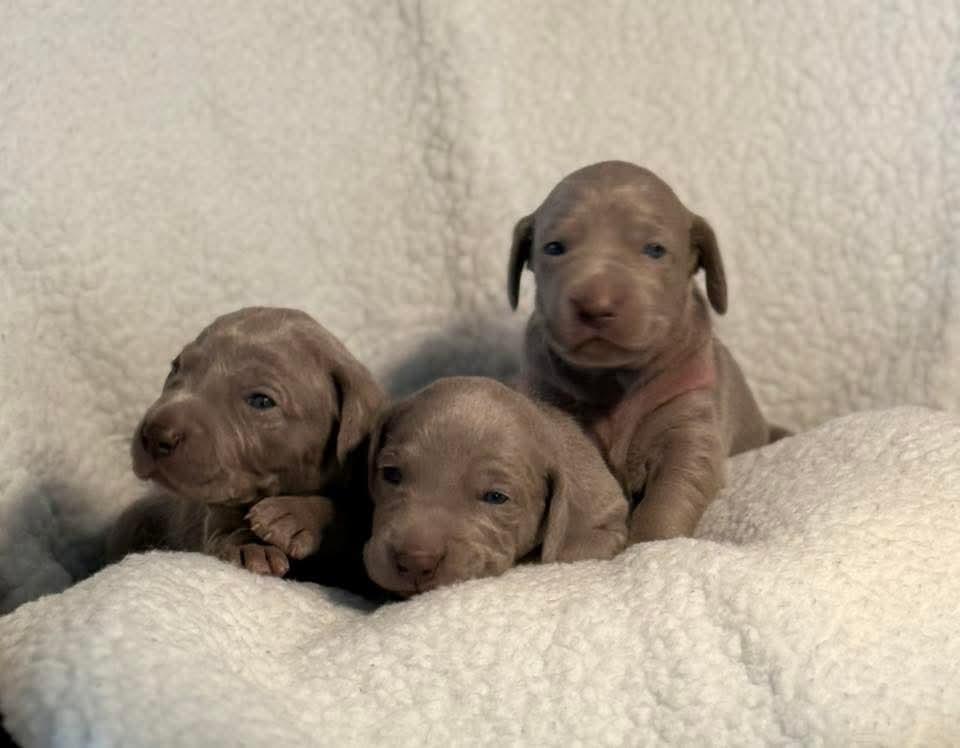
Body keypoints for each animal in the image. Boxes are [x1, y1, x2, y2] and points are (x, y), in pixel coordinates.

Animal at [109, 306, 385, 590]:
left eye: (261, 401)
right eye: (176, 368)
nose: (155, 434)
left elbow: (351, 525)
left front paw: (295, 516)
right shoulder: (217, 512)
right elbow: (223, 532)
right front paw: (250, 546)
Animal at [508, 160, 786, 542]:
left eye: (655, 250)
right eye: (553, 248)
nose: (595, 305)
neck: (615, 377)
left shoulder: (690, 424)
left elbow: (672, 493)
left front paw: (651, 545)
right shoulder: (549, 400)